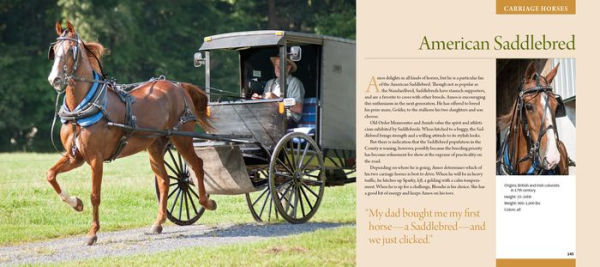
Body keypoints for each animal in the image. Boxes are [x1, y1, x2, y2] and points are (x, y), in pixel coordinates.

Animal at [46, 22, 216, 246]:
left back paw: (207, 202)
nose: (54, 79)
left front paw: (92, 233)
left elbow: (95, 195)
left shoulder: (95, 158)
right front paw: (76, 203)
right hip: (155, 146)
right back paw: (158, 223)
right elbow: (51, 175)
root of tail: (178, 85)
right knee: (165, 180)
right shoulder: (76, 156)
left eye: (70, 50)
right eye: (54, 50)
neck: (82, 109)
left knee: (196, 165)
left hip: (181, 138)